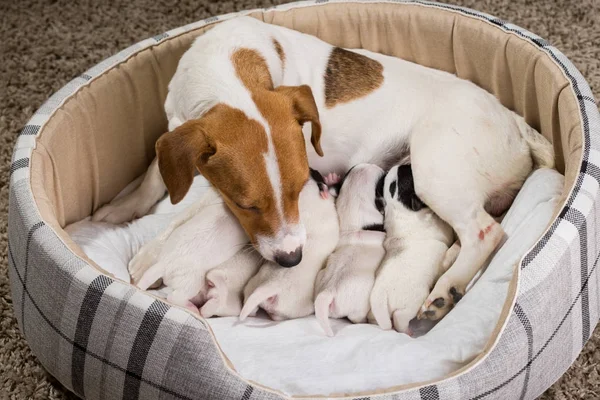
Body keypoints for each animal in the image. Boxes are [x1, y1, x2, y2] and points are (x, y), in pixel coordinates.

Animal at [370, 165, 454, 334]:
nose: (407, 163)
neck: (398, 209)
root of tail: (380, 299)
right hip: (412, 302)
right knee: (400, 318)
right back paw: (407, 331)